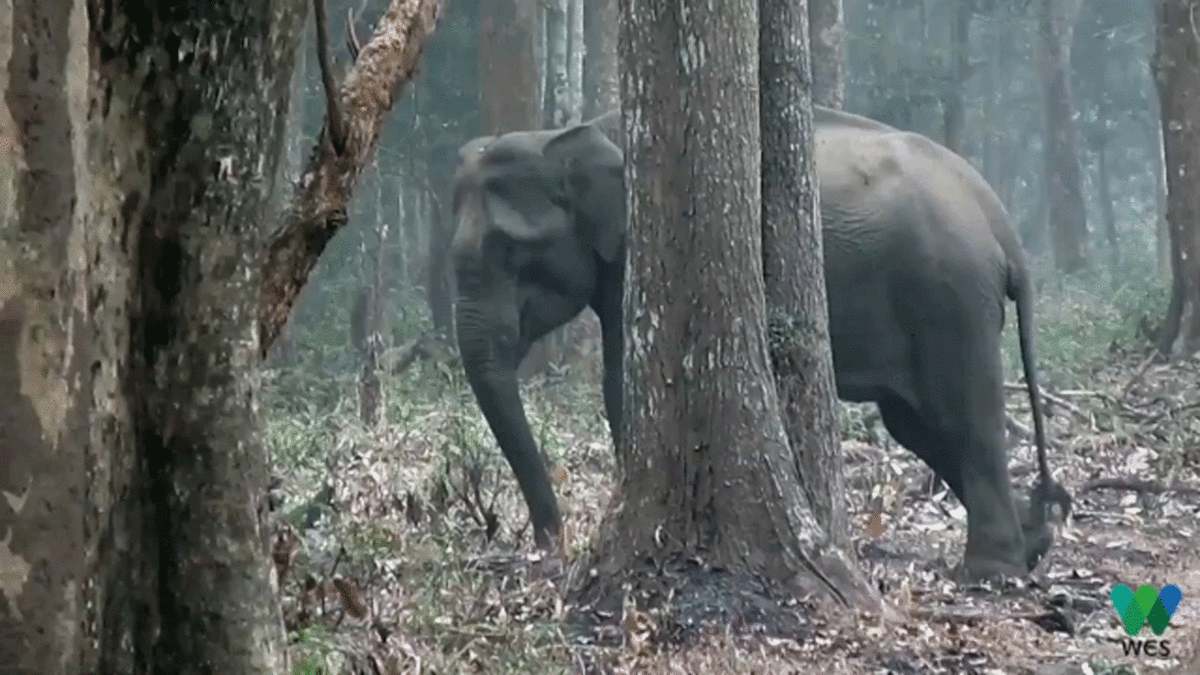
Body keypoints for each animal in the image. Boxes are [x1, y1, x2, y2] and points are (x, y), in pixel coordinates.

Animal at [451, 105, 1070, 578]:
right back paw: (1033, 543)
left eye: (510, 252)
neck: (565, 136)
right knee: (918, 425)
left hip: (948, 296)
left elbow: (624, 380)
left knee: (963, 416)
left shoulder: (648, 254)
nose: (548, 543)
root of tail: (996, 217)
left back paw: (990, 571)